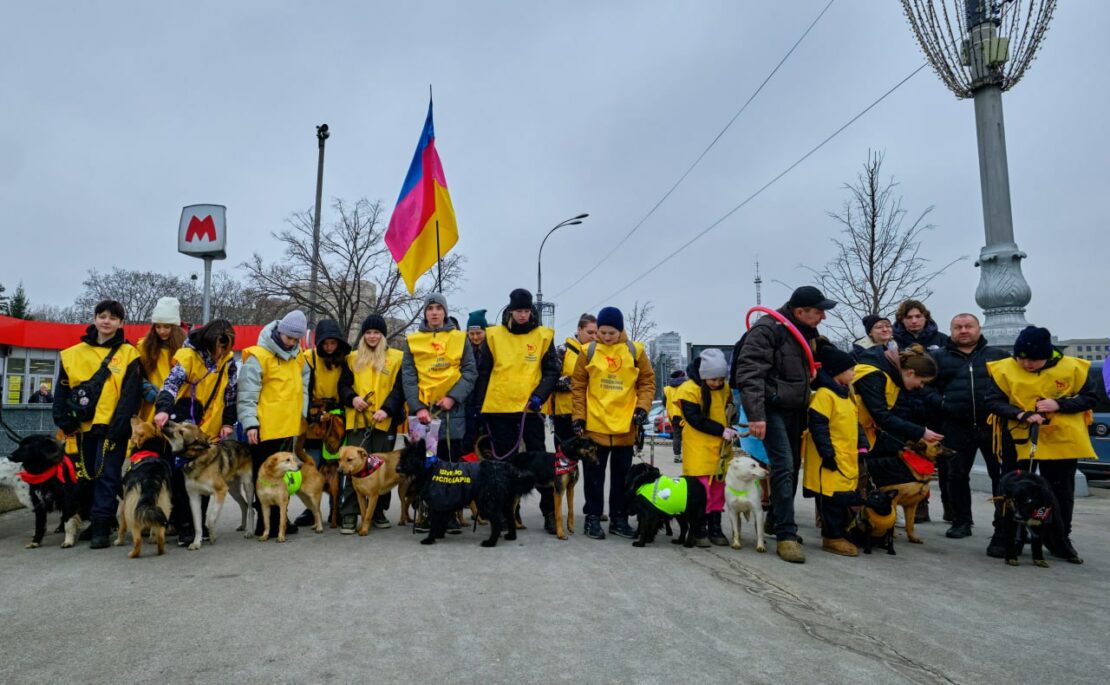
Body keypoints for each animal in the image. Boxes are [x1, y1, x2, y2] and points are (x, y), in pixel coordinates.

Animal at [114, 417, 173, 555]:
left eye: (139, 424)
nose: (133, 415)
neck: (147, 449)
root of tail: (150, 477)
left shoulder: (123, 502)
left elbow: (122, 527)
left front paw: (119, 541)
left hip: (131, 508)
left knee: (137, 539)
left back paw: (133, 554)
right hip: (162, 505)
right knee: (160, 534)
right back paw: (159, 547)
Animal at [160, 419, 255, 548]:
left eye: (181, 432)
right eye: (181, 422)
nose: (167, 420)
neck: (194, 458)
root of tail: (246, 445)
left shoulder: (220, 492)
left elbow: (211, 519)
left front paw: (212, 535)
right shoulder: (194, 497)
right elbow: (197, 524)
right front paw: (196, 543)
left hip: (247, 486)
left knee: (251, 509)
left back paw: (249, 531)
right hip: (233, 490)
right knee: (244, 505)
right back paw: (243, 526)